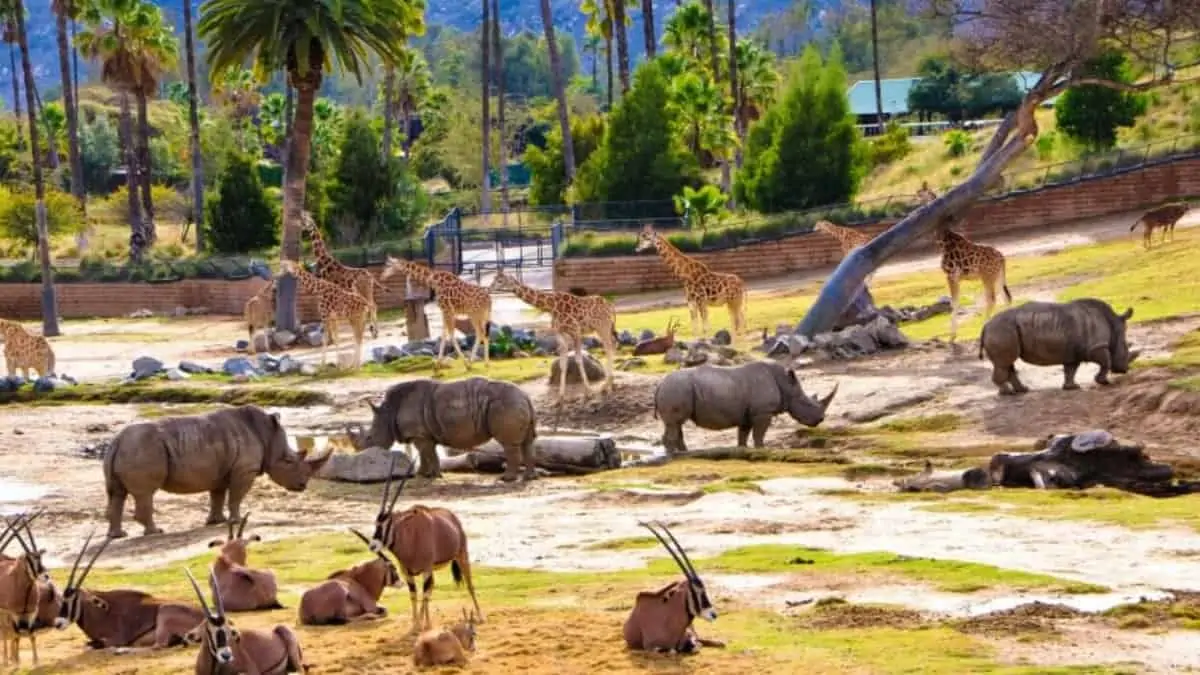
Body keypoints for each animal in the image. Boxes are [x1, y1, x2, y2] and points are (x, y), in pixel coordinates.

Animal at [55, 526, 205, 648]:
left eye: (74, 599)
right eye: (62, 598)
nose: (58, 623)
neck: (102, 612)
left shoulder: (115, 639)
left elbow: (92, 645)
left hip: (164, 612)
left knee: (158, 646)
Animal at [364, 454, 482, 634]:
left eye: (390, 524)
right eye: (376, 523)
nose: (373, 545)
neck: (411, 538)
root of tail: (452, 516)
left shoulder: (425, 569)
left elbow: (424, 595)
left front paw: (425, 625)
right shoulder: (408, 572)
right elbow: (415, 595)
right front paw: (416, 626)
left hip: (462, 555)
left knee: (469, 585)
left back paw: (481, 617)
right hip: (434, 568)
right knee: (431, 588)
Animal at [487, 267, 619, 398]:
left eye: (500, 280)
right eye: (494, 278)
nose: (488, 289)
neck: (552, 307)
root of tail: (611, 307)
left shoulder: (575, 331)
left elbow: (578, 360)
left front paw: (588, 390)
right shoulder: (559, 333)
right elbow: (563, 363)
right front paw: (560, 396)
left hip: (603, 327)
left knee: (609, 347)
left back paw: (607, 387)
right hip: (602, 328)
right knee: (612, 345)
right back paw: (609, 384)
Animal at [624, 521, 724, 653]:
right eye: (695, 591)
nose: (713, 614)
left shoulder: (689, 637)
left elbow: (695, 645)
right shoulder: (651, 647)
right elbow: (672, 650)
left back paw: (720, 642)